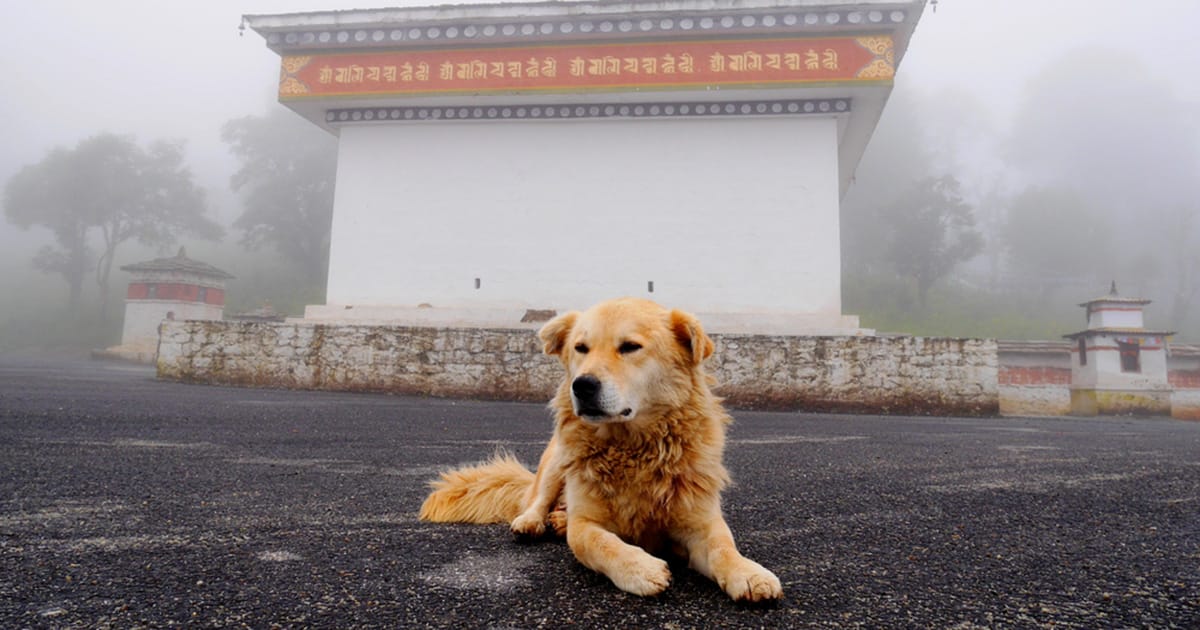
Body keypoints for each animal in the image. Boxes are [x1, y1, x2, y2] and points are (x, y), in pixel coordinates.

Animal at [422, 297, 787, 602]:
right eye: (580, 348)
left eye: (630, 347)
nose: (582, 386)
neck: (633, 448)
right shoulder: (585, 525)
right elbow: (604, 543)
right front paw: (641, 569)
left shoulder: (700, 523)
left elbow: (724, 547)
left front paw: (748, 573)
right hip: (556, 460)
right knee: (538, 499)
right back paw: (533, 521)